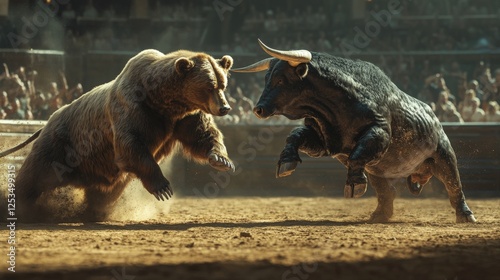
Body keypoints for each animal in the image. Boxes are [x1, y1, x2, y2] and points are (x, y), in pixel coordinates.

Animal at [0, 49, 235, 222]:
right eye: (210, 86)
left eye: (222, 84)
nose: (225, 107)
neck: (163, 102)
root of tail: (48, 119)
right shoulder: (133, 108)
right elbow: (131, 143)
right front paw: (163, 187)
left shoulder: (184, 117)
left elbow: (201, 135)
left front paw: (222, 160)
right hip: (61, 145)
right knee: (34, 174)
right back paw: (19, 206)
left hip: (95, 165)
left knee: (104, 192)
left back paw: (94, 212)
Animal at [233, 39, 476, 223]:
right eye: (267, 78)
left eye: (281, 79)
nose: (258, 109)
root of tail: (434, 119)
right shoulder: (325, 142)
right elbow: (296, 135)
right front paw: (286, 162)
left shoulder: (380, 131)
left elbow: (359, 153)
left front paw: (354, 184)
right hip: (378, 170)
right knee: (387, 192)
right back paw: (379, 215)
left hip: (443, 154)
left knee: (454, 184)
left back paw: (465, 216)